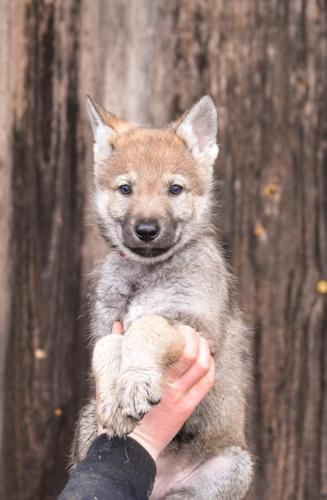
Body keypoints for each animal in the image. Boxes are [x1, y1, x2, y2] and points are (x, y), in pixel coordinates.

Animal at [73, 95, 255, 498]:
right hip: (85, 425)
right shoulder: (107, 327)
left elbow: (150, 325)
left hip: (231, 467)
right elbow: (107, 347)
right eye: (126, 189)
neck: (145, 274)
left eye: (175, 189)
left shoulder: (195, 328)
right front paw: (115, 393)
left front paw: (135, 381)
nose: (146, 230)